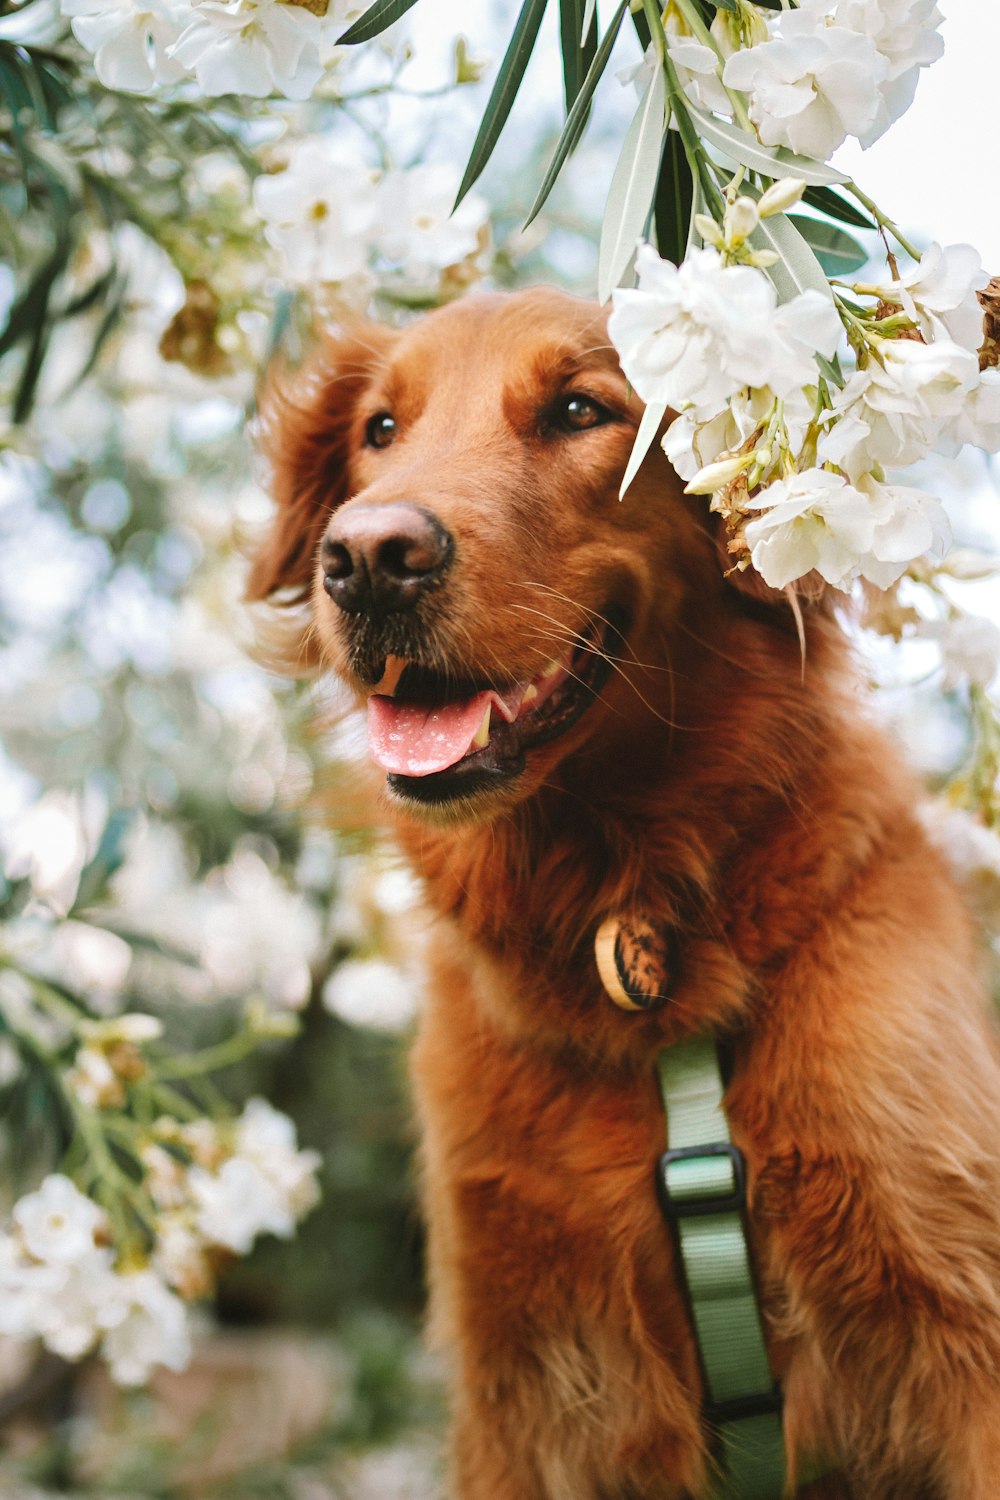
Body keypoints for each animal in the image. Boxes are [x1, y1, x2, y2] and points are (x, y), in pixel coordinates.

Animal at [250, 289, 1000, 1500]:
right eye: (379, 430)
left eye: (577, 411)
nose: (365, 558)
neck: (626, 912)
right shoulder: (514, 1386)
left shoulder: (961, 1323)